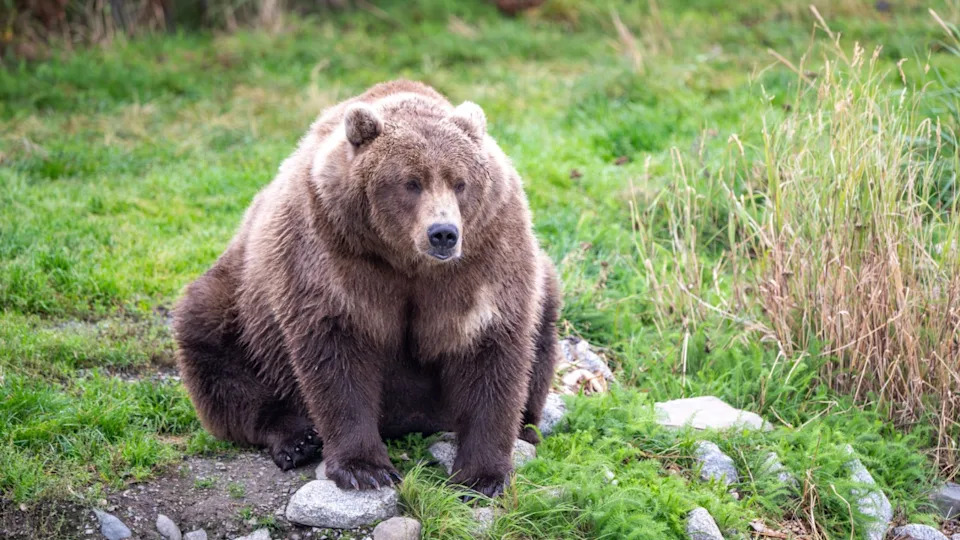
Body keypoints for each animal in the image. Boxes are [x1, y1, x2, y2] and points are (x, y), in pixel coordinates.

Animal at [173, 80, 561, 497]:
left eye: (460, 182)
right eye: (411, 182)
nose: (443, 233)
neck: (405, 259)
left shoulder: (484, 256)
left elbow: (491, 350)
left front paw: (482, 476)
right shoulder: (331, 249)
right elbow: (338, 356)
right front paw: (365, 469)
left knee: (544, 329)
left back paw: (527, 427)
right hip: (243, 297)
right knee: (212, 341)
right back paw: (296, 439)